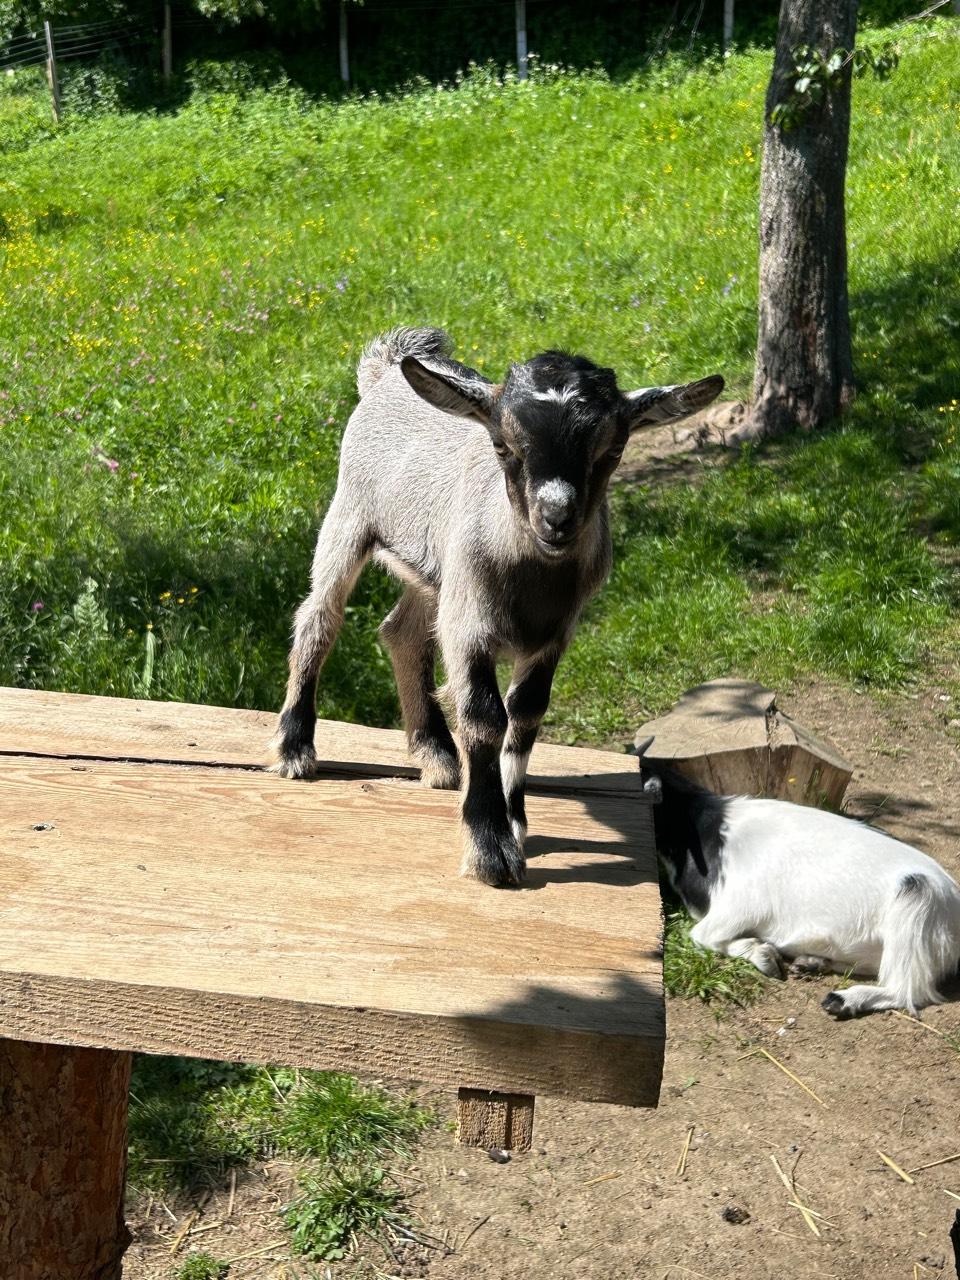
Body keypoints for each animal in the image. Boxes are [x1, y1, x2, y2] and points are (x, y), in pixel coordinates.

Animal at [271, 330, 721, 885]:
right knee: (320, 618)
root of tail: (386, 370)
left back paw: (437, 755)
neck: (530, 581)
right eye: (503, 445)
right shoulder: (470, 627)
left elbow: (526, 713)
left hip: (437, 573)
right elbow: (485, 716)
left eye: (613, 449)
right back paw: (295, 746)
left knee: (402, 632)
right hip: (350, 516)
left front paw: (514, 819)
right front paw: (490, 847)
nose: (556, 519)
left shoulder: (554, 634)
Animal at [640, 742, 960, 1018]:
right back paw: (812, 962)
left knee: (908, 989)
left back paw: (843, 999)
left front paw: (763, 955)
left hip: (917, 900)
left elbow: (701, 935)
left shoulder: (740, 905)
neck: (706, 830)